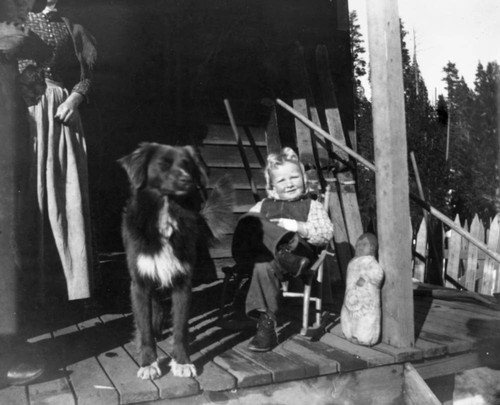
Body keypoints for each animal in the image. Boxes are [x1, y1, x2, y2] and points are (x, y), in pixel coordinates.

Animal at [119, 143, 234, 378]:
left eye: (188, 165)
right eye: (162, 164)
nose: (187, 180)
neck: (165, 214)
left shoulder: (183, 282)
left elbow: (180, 327)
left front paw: (182, 362)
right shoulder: (140, 283)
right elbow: (144, 326)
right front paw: (148, 363)